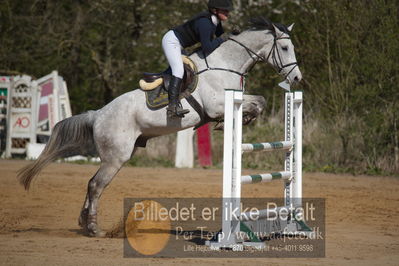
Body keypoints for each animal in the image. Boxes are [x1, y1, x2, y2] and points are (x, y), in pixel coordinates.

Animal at [17, 17, 302, 236]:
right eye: (285, 47)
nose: (297, 78)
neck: (226, 63)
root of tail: (97, 115)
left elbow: (260, 100)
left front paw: (244, 119)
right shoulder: (217, 104)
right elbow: (254, 103)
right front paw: (239, 119)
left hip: (120, 153)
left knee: (91, 183)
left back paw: (83, 222)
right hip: (116, 157)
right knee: (96, 185)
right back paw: (95, 228)